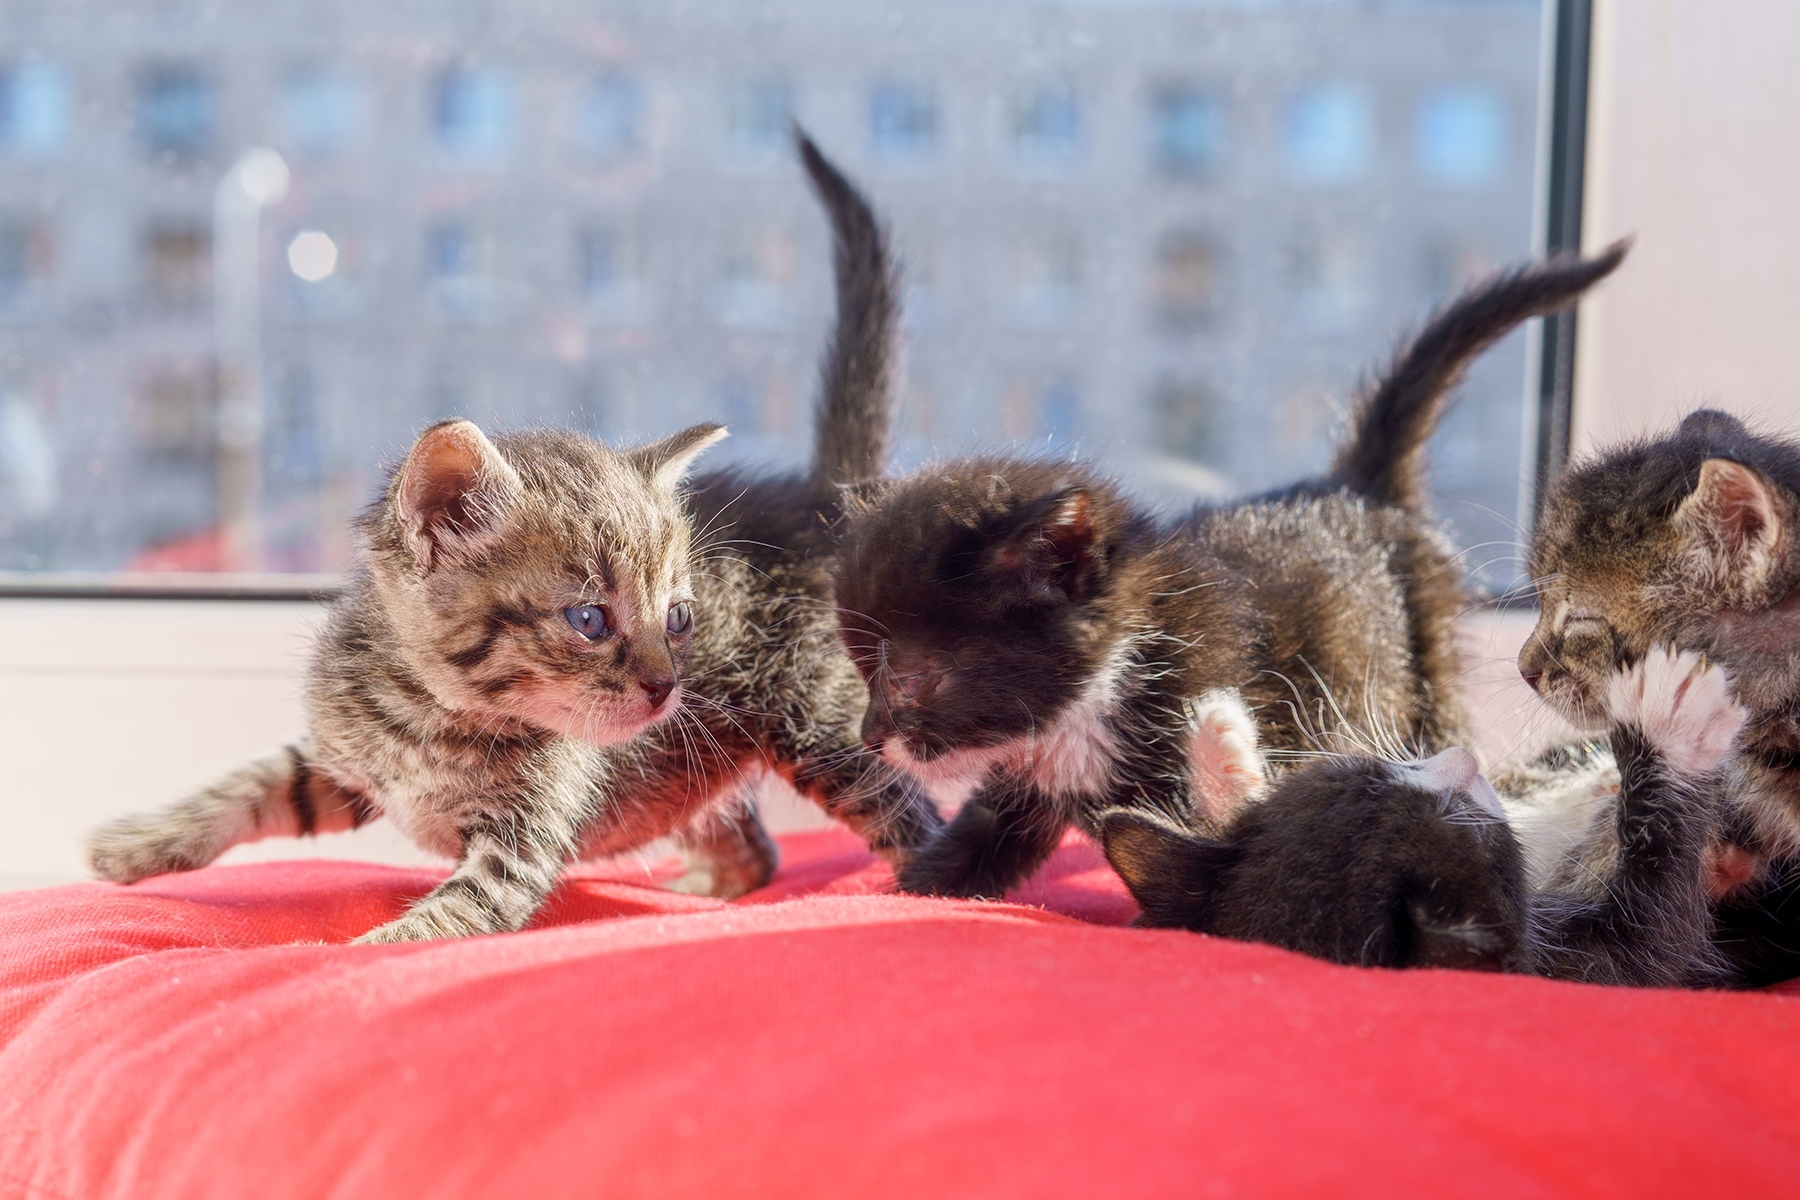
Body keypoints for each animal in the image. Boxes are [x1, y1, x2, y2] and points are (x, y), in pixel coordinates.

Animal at [87, 135, 943, 942]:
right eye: (589, 619)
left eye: (678, 618)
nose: (668, 685)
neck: (429, 714)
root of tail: (820, 502)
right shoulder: (344, 756)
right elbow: (259, 782)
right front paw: (136, 843)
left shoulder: (515, 849)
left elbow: (444, 919)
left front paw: (353, 952)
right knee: (751, 844)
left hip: (821, 726)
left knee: (909, 813)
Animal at [838, 246, 1634, 899]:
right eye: (863, 676)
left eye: (907, 678)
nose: (870, 737)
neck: (1096, 698)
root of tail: (1358, 488)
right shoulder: (1027, 783)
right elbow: (976, 847)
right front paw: (910, 891)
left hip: (1428, 658)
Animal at [1094, 647, 1742, 985]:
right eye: (1459, 815)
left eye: (1366, 768)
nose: (1460, 757)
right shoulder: (1599, 970)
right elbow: (1662, 919)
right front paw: (1677, 716)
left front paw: (1224, 753)